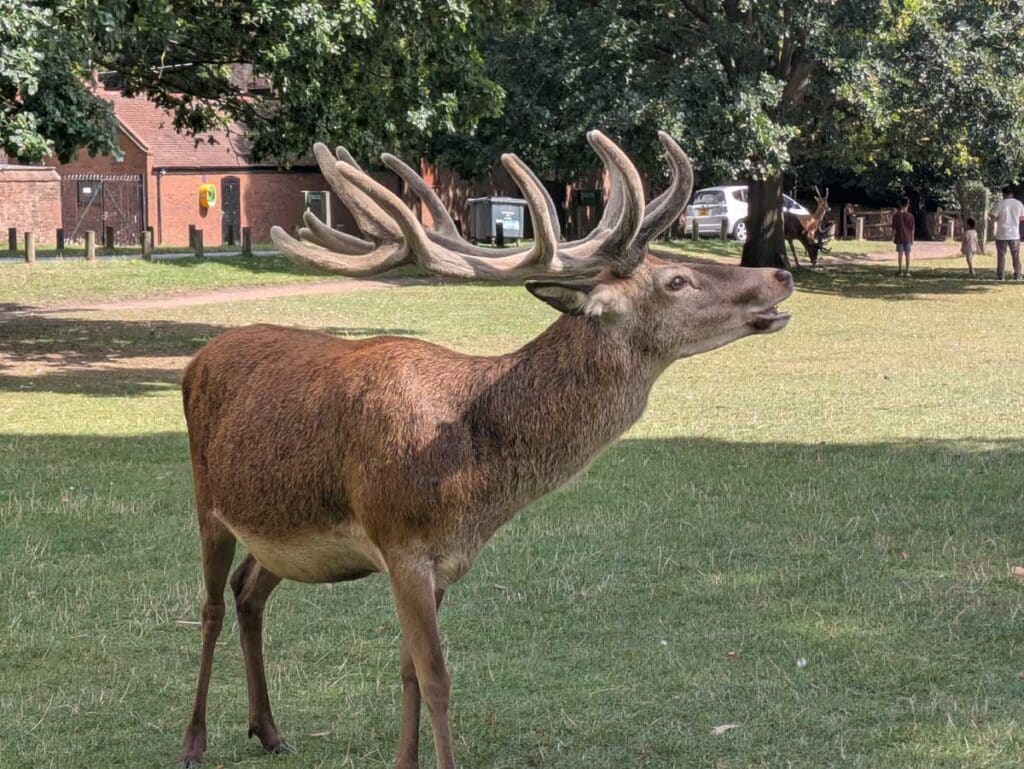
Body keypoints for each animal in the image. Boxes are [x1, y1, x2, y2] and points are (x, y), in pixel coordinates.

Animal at [179, 129, 794, 769]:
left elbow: (408, 672)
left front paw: (403, 762)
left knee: (249, 593)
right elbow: (437, 678)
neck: (476, 476)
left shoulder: (446, 562)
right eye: (676, 281)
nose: (780, 275)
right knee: (211, 605)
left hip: (282, 537)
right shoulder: (401, 543)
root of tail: (197, 360)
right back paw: (195, 740)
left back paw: (268, 729)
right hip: (206, 498)